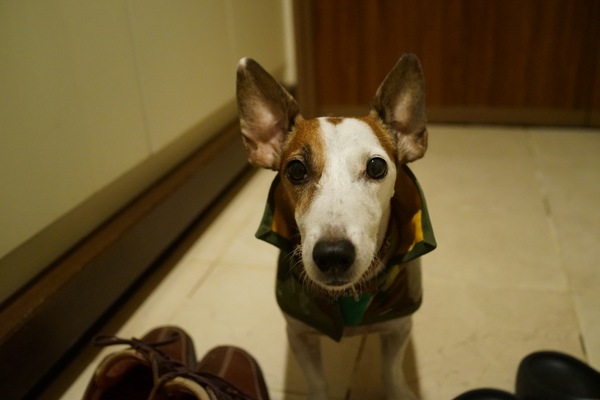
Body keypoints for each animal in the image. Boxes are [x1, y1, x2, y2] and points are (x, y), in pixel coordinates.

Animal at [236, 54, 436, 400]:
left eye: (377, 166)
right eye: (296, 170)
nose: (332, 255)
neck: (350, 296)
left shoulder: (398, 328)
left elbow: (391, 371)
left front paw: (397, 390)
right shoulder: (299, 333)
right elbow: (316, 382)